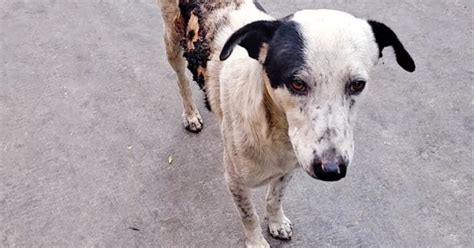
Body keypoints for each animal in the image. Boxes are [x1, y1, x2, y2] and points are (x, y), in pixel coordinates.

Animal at [157, 0, 412, 247]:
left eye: (358, 84)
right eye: (297, 83)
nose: (331, 170)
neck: (274, 130)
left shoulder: (290, 166)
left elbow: (275, 197)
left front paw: (277, 222)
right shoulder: (235, 181)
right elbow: (249, 216)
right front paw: (256, 242)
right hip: (172, 43)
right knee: (181, 79)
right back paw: (191, 114)